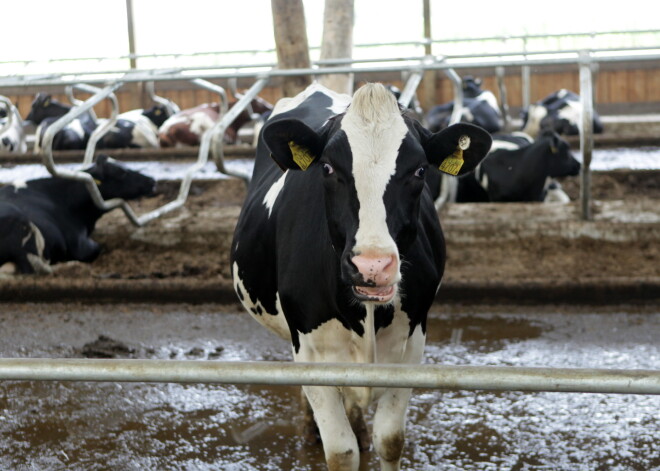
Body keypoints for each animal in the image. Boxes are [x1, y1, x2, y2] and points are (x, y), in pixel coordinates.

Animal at [229, 83, 492, 470]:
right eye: (326, 167)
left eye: (420, 171)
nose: (372, 265)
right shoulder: (309, 350)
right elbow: (341, 451)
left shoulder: (412, 344)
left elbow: (391, 440)